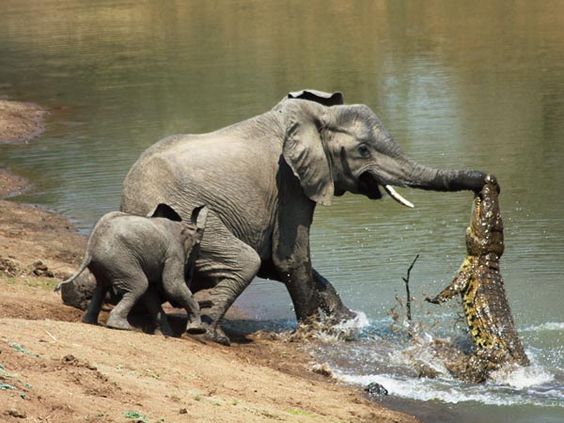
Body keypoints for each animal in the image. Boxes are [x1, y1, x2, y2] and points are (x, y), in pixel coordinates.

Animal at [55, 204, 207, 336]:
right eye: (197, 252)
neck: (185, 226)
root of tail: (89, 248)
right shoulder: (174, 254)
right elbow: (171, 286)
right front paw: (197, 330)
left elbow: (151, 294)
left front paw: (167, 334)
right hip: (119, 259)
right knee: (139, 285)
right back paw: (121, 327)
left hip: (107, 262)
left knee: (102, 286)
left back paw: (90, 322)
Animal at [121, 89, 486, 344]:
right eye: (363, 150)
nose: (486, 181)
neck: (314, 116)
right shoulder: (290, 182)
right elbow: (288, 257)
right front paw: (315, 333)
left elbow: (277, 261)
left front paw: (346, 321)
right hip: (185, 217)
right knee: (245, 261)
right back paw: (212, 335)